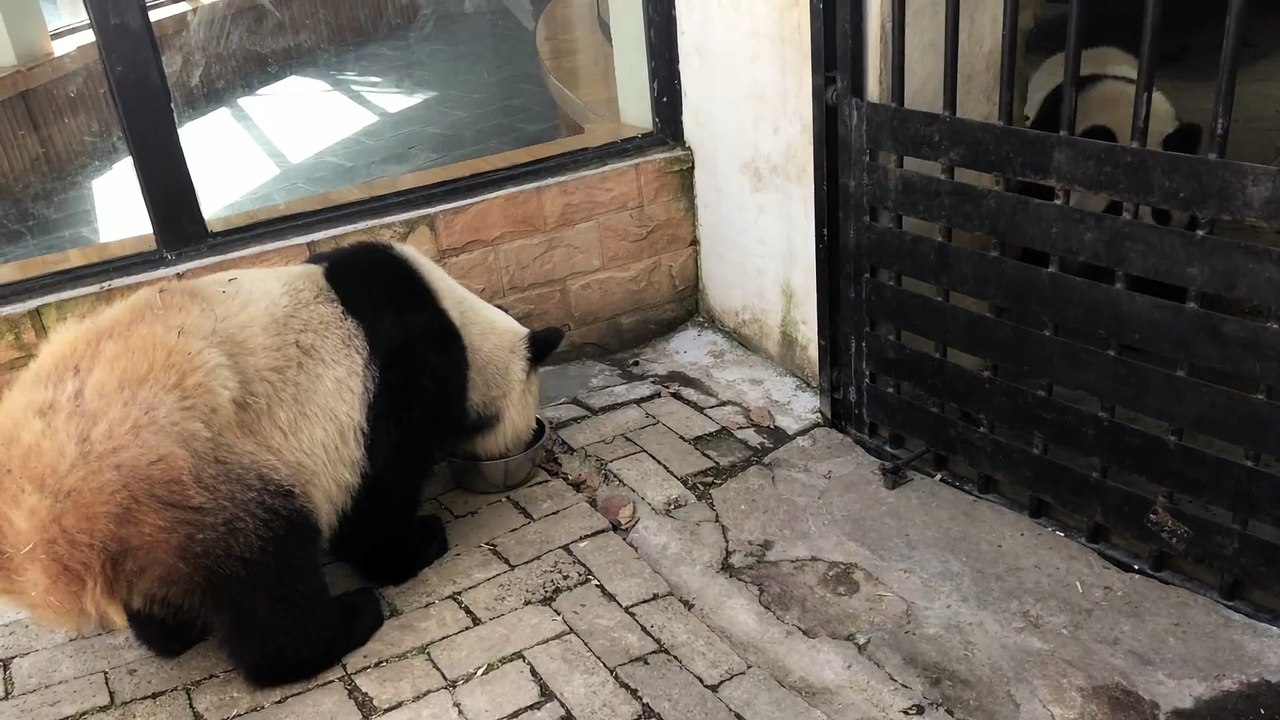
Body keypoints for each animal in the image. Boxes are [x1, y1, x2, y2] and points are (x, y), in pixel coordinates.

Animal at [0, 240, 563, 688]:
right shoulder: (398, 383)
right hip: (199, 478)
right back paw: (343, 624)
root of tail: (41, 519)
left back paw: (174, 632)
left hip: (152, 518)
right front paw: (416, 544)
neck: (463, 329)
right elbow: (374, 498)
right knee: (269, 578)